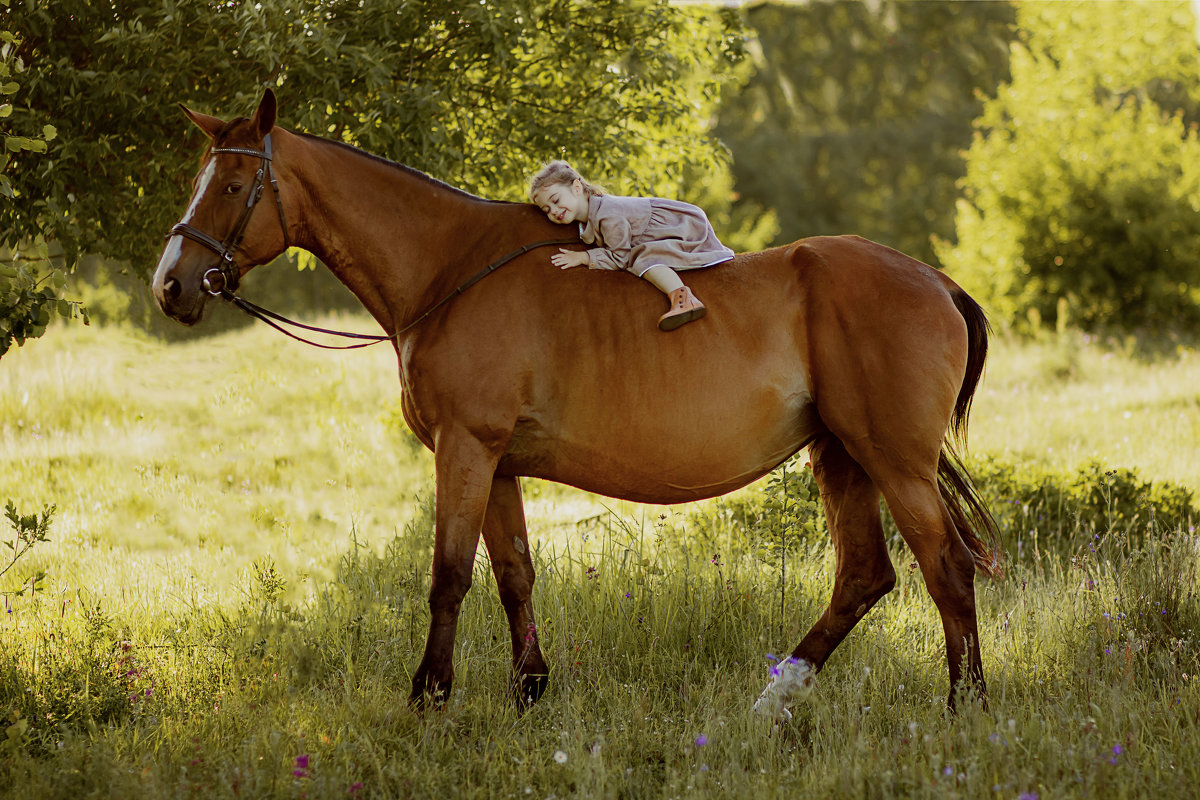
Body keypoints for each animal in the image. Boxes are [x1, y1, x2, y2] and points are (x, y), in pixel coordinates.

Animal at [154, 90, 998, 714]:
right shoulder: (496, 463)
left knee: (946, 569)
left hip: (892, 461)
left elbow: (449, 575)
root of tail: (935, 280)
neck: (452, 269)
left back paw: (967, 705)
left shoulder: (466, 448)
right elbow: (513, 573)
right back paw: (776, 697)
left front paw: (430, 696)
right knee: (864, 577)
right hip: (842, 456)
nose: (171, 284)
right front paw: (529, 689)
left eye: (232, 186)